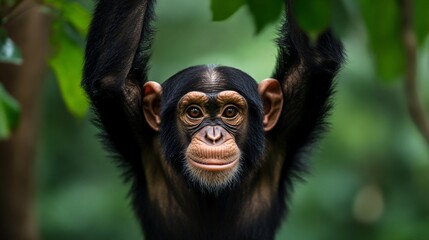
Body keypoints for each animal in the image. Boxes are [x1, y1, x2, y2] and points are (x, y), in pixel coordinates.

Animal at [83, 0, 344, 239]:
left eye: (229, 112)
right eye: (194, 112)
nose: (213, 136)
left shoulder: (286, 127)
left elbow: (314, 60)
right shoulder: (137, 129)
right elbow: (111, 79)